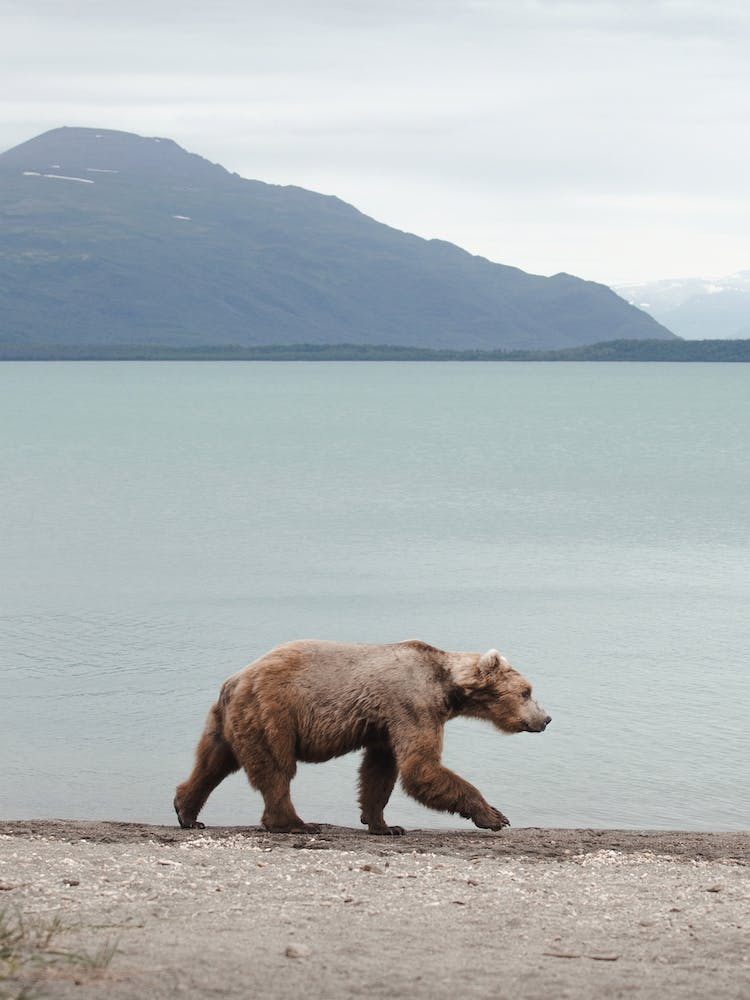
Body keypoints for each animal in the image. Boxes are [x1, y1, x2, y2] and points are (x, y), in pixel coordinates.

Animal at [174, 639, 551, 835]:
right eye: (526, 692)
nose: (546, 719)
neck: (447, 689)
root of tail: (236, 679)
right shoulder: (412, 705)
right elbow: (420, 768)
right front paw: (494, 815)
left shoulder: (385, 725)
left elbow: (379, 772)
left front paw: (383, 824)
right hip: (274, 711)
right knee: (276, 768)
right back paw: (294, 823)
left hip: (228, 720)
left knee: (212, 763)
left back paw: (187, 811)